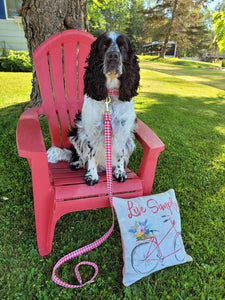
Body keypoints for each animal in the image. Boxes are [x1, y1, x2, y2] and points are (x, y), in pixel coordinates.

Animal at [47, 31, 139, 184]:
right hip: (76, 134)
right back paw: (77, 163)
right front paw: (92, 175)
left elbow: (120, 154)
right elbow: (91, 154)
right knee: (79, 154)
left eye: (122, 47)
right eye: (104, 46)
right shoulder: (91, 130)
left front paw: (119, 171)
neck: (110, 96)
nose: (113, 55)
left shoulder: (123, 129)